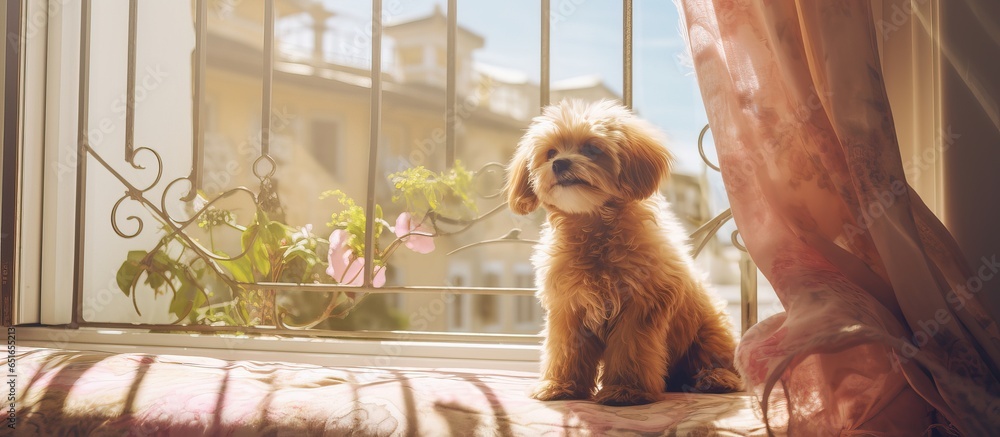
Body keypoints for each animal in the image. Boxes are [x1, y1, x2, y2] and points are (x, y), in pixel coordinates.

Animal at [508, 99, 744, 406]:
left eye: (591, 149)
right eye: (550, 153)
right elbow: (564, 351)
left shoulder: (639, 308)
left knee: (720, 364)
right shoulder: (568, 309)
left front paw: (626, 390)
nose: (559, 163)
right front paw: (560, 385)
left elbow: (629, 351)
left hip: (708, 331)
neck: (595, 230)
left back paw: (715, 379)